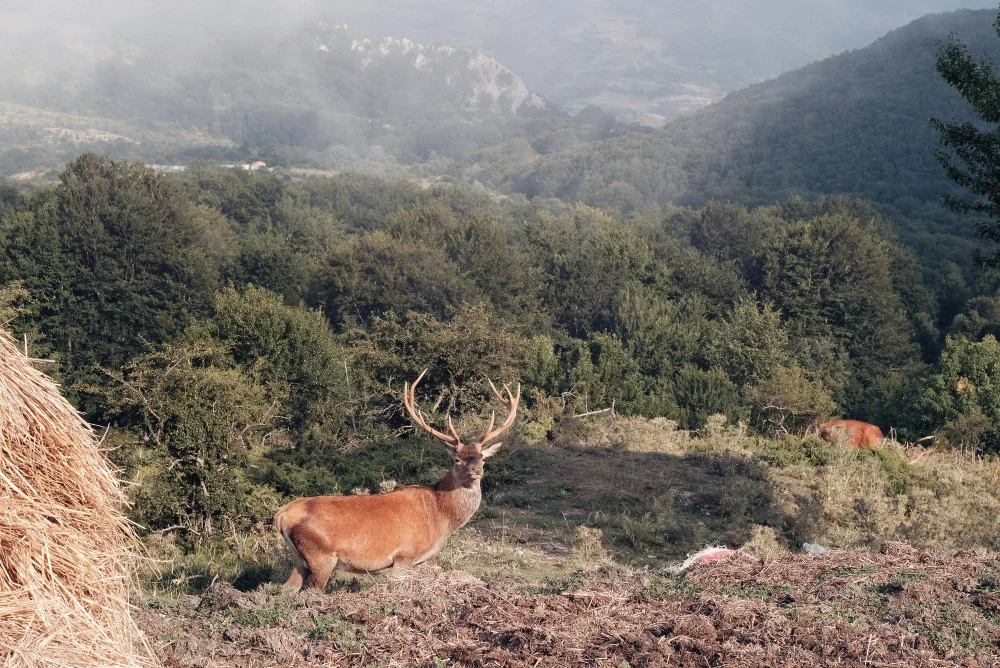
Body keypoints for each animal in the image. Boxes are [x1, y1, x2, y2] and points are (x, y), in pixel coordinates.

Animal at [278, 370, 520, 588]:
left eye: (482, 458)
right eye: (457, 460)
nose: (476, 470)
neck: (440, 518)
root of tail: (282, 515)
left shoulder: (421, 560)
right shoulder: (404, 556)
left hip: (298, 559)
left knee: (287, 589)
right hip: (321, 556)